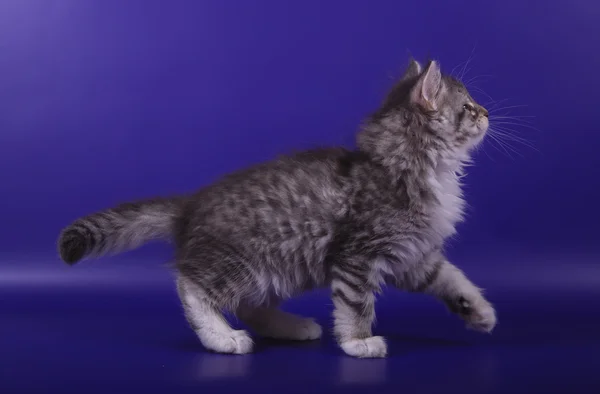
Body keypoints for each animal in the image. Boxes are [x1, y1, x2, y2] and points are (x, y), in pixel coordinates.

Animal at [58, 60, 494, 358]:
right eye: (469, 108)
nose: (487, 113)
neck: (408, 168)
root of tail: (190, 204)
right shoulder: (358, 256)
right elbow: (356, 304)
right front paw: (358, 342)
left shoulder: (413, 255)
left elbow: (451, 277)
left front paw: (477, 310)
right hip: (242, 261)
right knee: (192, 286)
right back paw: (221, 337)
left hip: (275, 270)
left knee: (248, 305)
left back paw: (291, 326)